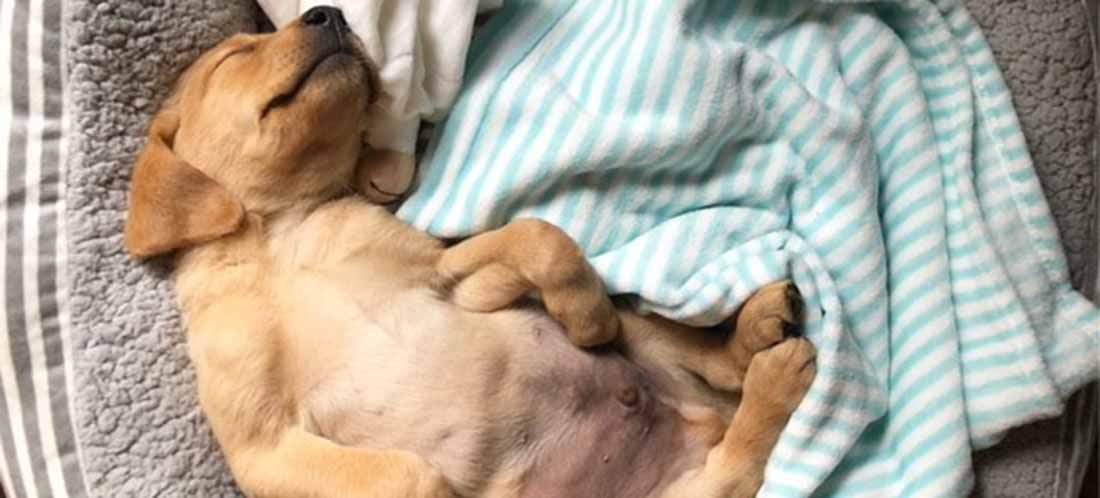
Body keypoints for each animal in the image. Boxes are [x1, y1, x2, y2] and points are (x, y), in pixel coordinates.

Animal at [124, 7, 818, 496]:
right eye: (236, 54)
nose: (329, 12)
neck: (286, 240)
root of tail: (697, 418)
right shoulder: (261, 446)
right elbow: (409, 475)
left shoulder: (444, 274)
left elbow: (539, 236)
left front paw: (584, 312)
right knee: (733, 464)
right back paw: (773, 376)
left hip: (646, 342)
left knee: (701, 369)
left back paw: (759, 338)